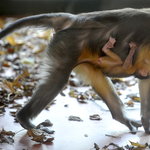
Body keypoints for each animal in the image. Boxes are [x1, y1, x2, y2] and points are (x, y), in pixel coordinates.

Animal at [0, 7, 150, 134]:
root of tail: (76, 19)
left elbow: (145, 81)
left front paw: (146, 123)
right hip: (68, 44)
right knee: (57, 80)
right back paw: (25, 119)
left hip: (82, 53)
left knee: (98, 79)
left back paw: (122, 118)